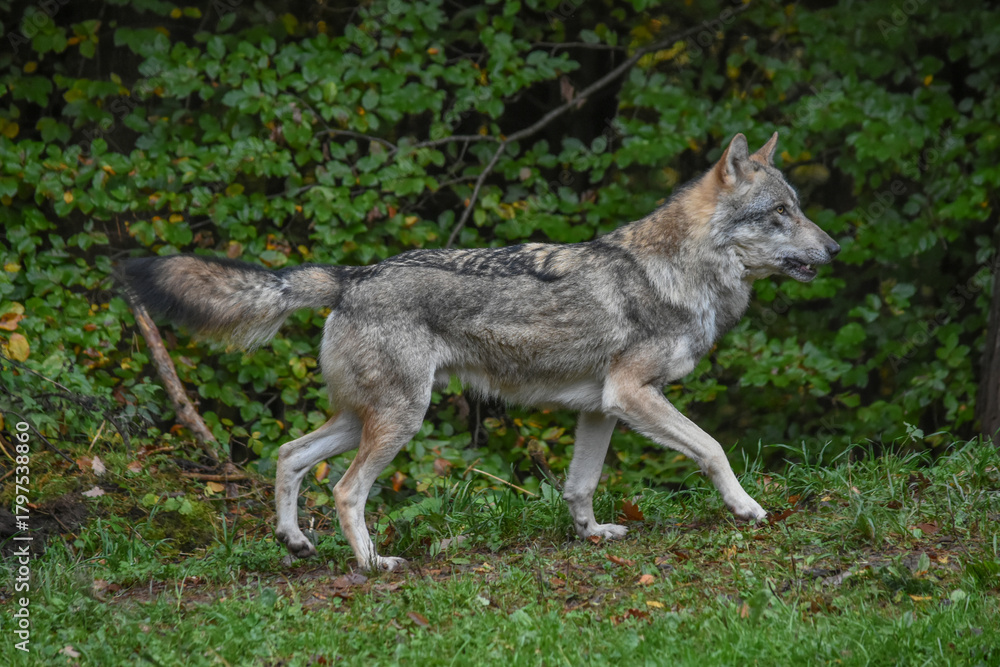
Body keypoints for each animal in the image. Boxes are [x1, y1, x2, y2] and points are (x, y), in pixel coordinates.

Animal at [120, 132, 839, 571]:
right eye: (780, 212)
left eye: (799, 208)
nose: (835, 249)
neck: (682, 271)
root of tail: (352, 275)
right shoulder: (634, 395)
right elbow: (714, 448)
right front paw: (747, 508)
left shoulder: (602, 407)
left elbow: (579, 485)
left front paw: (592, 536)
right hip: (397, 423)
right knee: (346, 488)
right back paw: (371, 563)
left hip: (365, 419)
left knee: (289, 455)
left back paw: (295, 541)